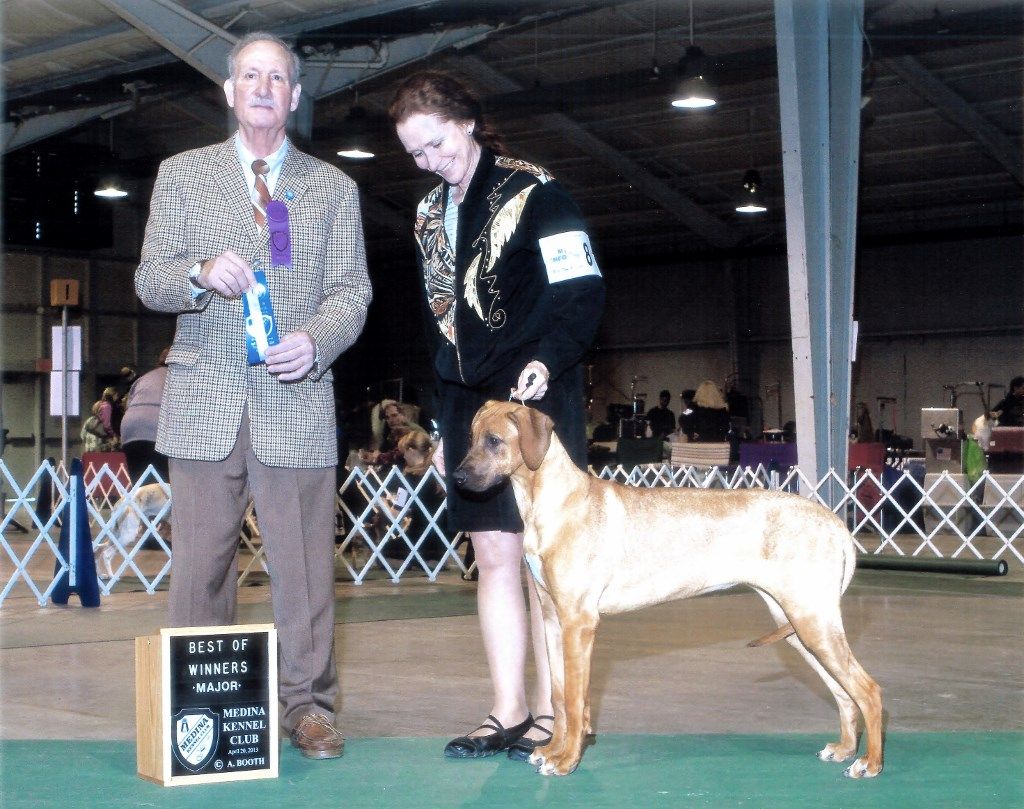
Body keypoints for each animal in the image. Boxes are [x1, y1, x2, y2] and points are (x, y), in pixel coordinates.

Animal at [453, 401, 883, 779]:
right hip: (798, 626)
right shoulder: (552, 620)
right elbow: (560, 696)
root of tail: (835, 524)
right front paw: (553, 751)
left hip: (812, 620)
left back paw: (869, 764)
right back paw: (845, 748)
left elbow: (576, 700)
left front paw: (567, 761)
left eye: (494, 440)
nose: (456, 479)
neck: (554, 502)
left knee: (869, 690)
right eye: (471, 437)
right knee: (843, 692)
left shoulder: (579, 622)